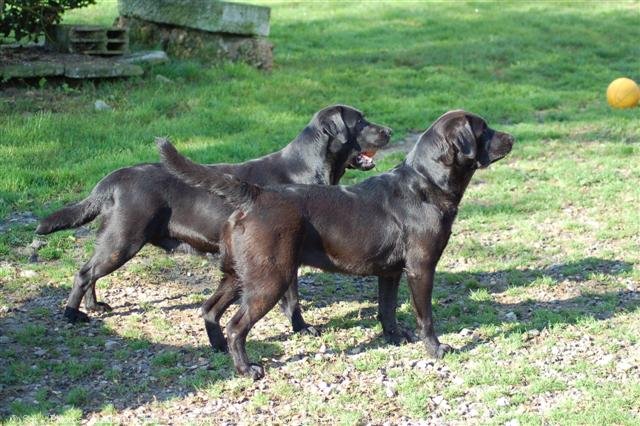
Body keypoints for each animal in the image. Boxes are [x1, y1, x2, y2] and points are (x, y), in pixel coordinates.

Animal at [40, 105, 392, 322]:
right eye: (360, 122)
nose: (389, 130)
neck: (305, 167)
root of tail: (113, 178)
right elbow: (292, 299)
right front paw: (301, 326)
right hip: (123, 239)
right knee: (84, 273)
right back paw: (73, 315)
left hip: (114, 240)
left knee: (91, 272)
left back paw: (94, 306)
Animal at [160, 108, 516, 378]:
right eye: (484, 129)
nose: (512, 138)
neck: (426, 183)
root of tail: (256, 194)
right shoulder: (421, 268)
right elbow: (424, 316)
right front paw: (436, 348)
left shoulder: (390, 272)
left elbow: (387, 309)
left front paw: (394, 337)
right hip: (269, 279)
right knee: (236, 326)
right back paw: (247, 369)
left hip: (241, 275)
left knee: (209, 309)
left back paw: (219, 350)